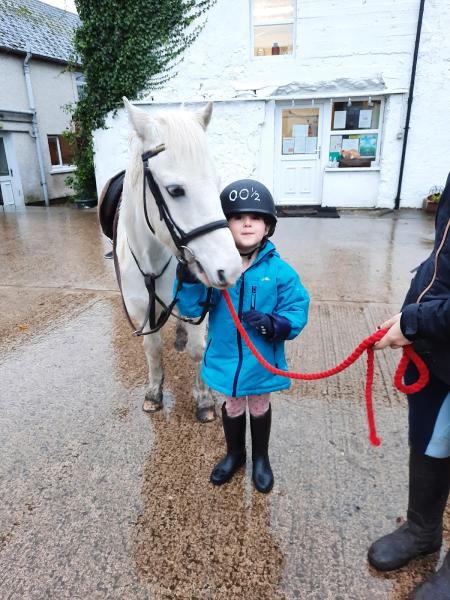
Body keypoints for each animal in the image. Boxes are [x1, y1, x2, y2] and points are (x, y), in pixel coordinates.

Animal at [112, 99, 243, 422]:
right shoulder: (139, 308)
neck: (152, 258)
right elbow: (152, 348)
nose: (231, 268)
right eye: (175, 190)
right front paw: (154, 393)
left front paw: (205, 398)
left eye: (217, 183)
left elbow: (199, 348)